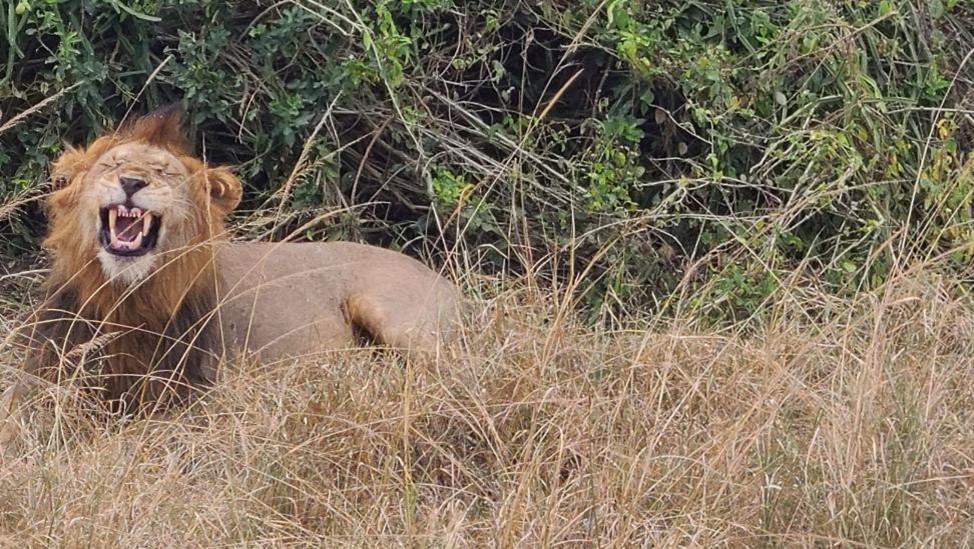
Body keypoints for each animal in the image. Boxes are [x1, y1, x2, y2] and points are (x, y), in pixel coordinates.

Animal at [0, 105, 462, 442]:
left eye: (165, 173)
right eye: (112, 165)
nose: (131, 182)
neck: (125, 295)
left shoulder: (188, 396)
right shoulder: (40, 381)